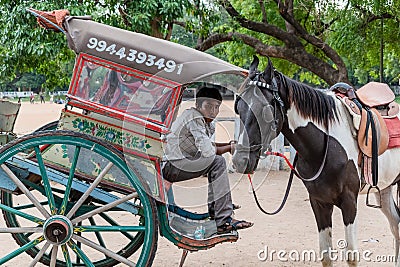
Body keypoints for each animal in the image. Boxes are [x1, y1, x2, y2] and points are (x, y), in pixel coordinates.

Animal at [231, 55, 400, 266]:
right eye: (238, 107)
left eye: (266, 110)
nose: (240, 160)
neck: (324, 146)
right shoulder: (319, 202)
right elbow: (326, 255)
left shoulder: (349, 202)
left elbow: (351, 255)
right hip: (384, 189)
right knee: (396, 225)